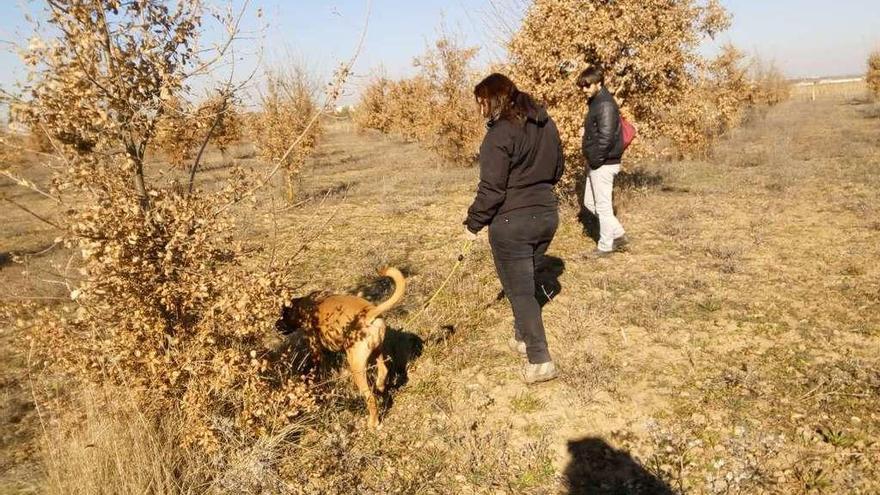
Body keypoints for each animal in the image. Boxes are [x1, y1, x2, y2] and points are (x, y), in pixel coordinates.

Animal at [276, 268, 408, 430]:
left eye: (283, 315)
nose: (275, 326)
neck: (303, 304)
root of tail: (370, 313)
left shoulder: (314, 346)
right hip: (377, 351)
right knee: (383, 370)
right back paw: (380, 386)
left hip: (357, 367)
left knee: (370, 398)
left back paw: (372, 423)